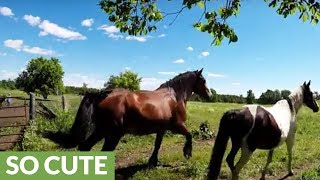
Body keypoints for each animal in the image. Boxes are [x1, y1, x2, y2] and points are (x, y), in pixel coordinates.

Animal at [43, 68, 211, 166]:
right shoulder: (177, 126)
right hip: (112, 134)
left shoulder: (161, 130)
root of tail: (104, 94)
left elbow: (157, 145)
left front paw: (153, 162)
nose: (209, 95)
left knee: (85, 147)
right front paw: (187, 152)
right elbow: (189, 136)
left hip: (101, 131)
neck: (174, 97)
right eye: (203, 80)